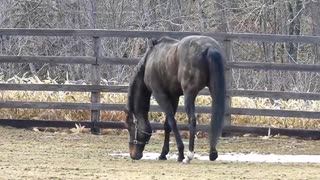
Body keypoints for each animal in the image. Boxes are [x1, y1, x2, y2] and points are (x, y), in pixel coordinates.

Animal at [125, 35, 225, 163]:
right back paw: (212, 153)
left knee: (192, 120)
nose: (133, 155)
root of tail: (209, 48)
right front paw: (163, 154)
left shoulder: (160, 95)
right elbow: (167, 125)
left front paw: (180, 153)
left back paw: (189, 156)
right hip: (214, 89)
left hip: (189, 95)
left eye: (130, 126)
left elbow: (172, 122)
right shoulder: (174, 96)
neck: (149, 60)